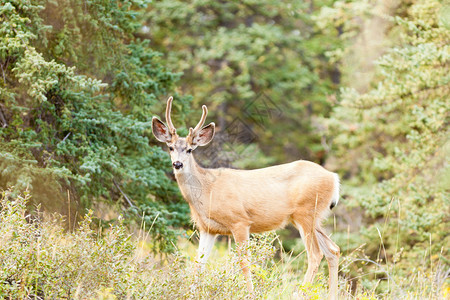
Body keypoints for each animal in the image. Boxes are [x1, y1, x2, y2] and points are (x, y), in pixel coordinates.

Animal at [152, 97, 342, 298]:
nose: (177, 164)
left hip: (305, 212)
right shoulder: (207, 228)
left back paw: (298, 294)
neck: (207, 189)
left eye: (189, 149)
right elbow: (199, 264)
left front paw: (251, 294)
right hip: (312, 218)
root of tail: (333, 178)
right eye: (170, 147)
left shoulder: (240, 221)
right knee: (333, 250)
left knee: (315, 254)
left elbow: (244, 262)